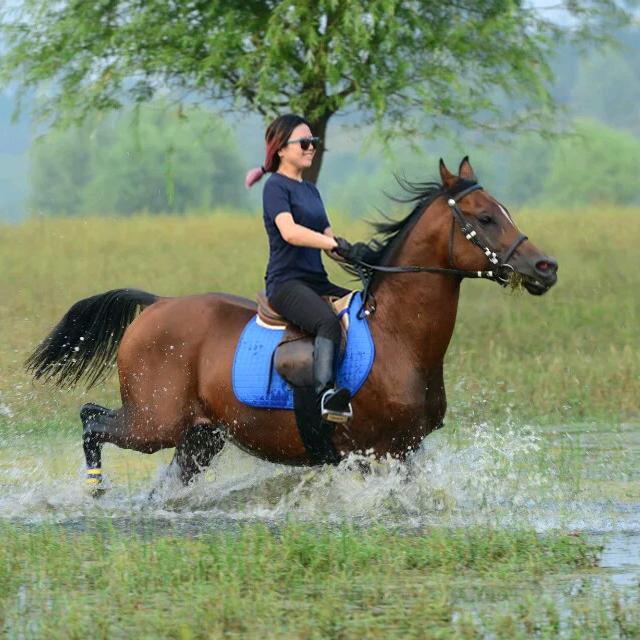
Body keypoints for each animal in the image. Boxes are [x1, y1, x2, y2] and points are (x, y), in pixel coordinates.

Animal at [25, 158, 558, 491]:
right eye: (485, 218)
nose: (546, 267)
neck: (398, 336)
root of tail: (158, 304)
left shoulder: (407, 451)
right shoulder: (376, 453)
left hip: (199, 439)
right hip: (152, 423)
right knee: (91, 420)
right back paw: (95, 491)